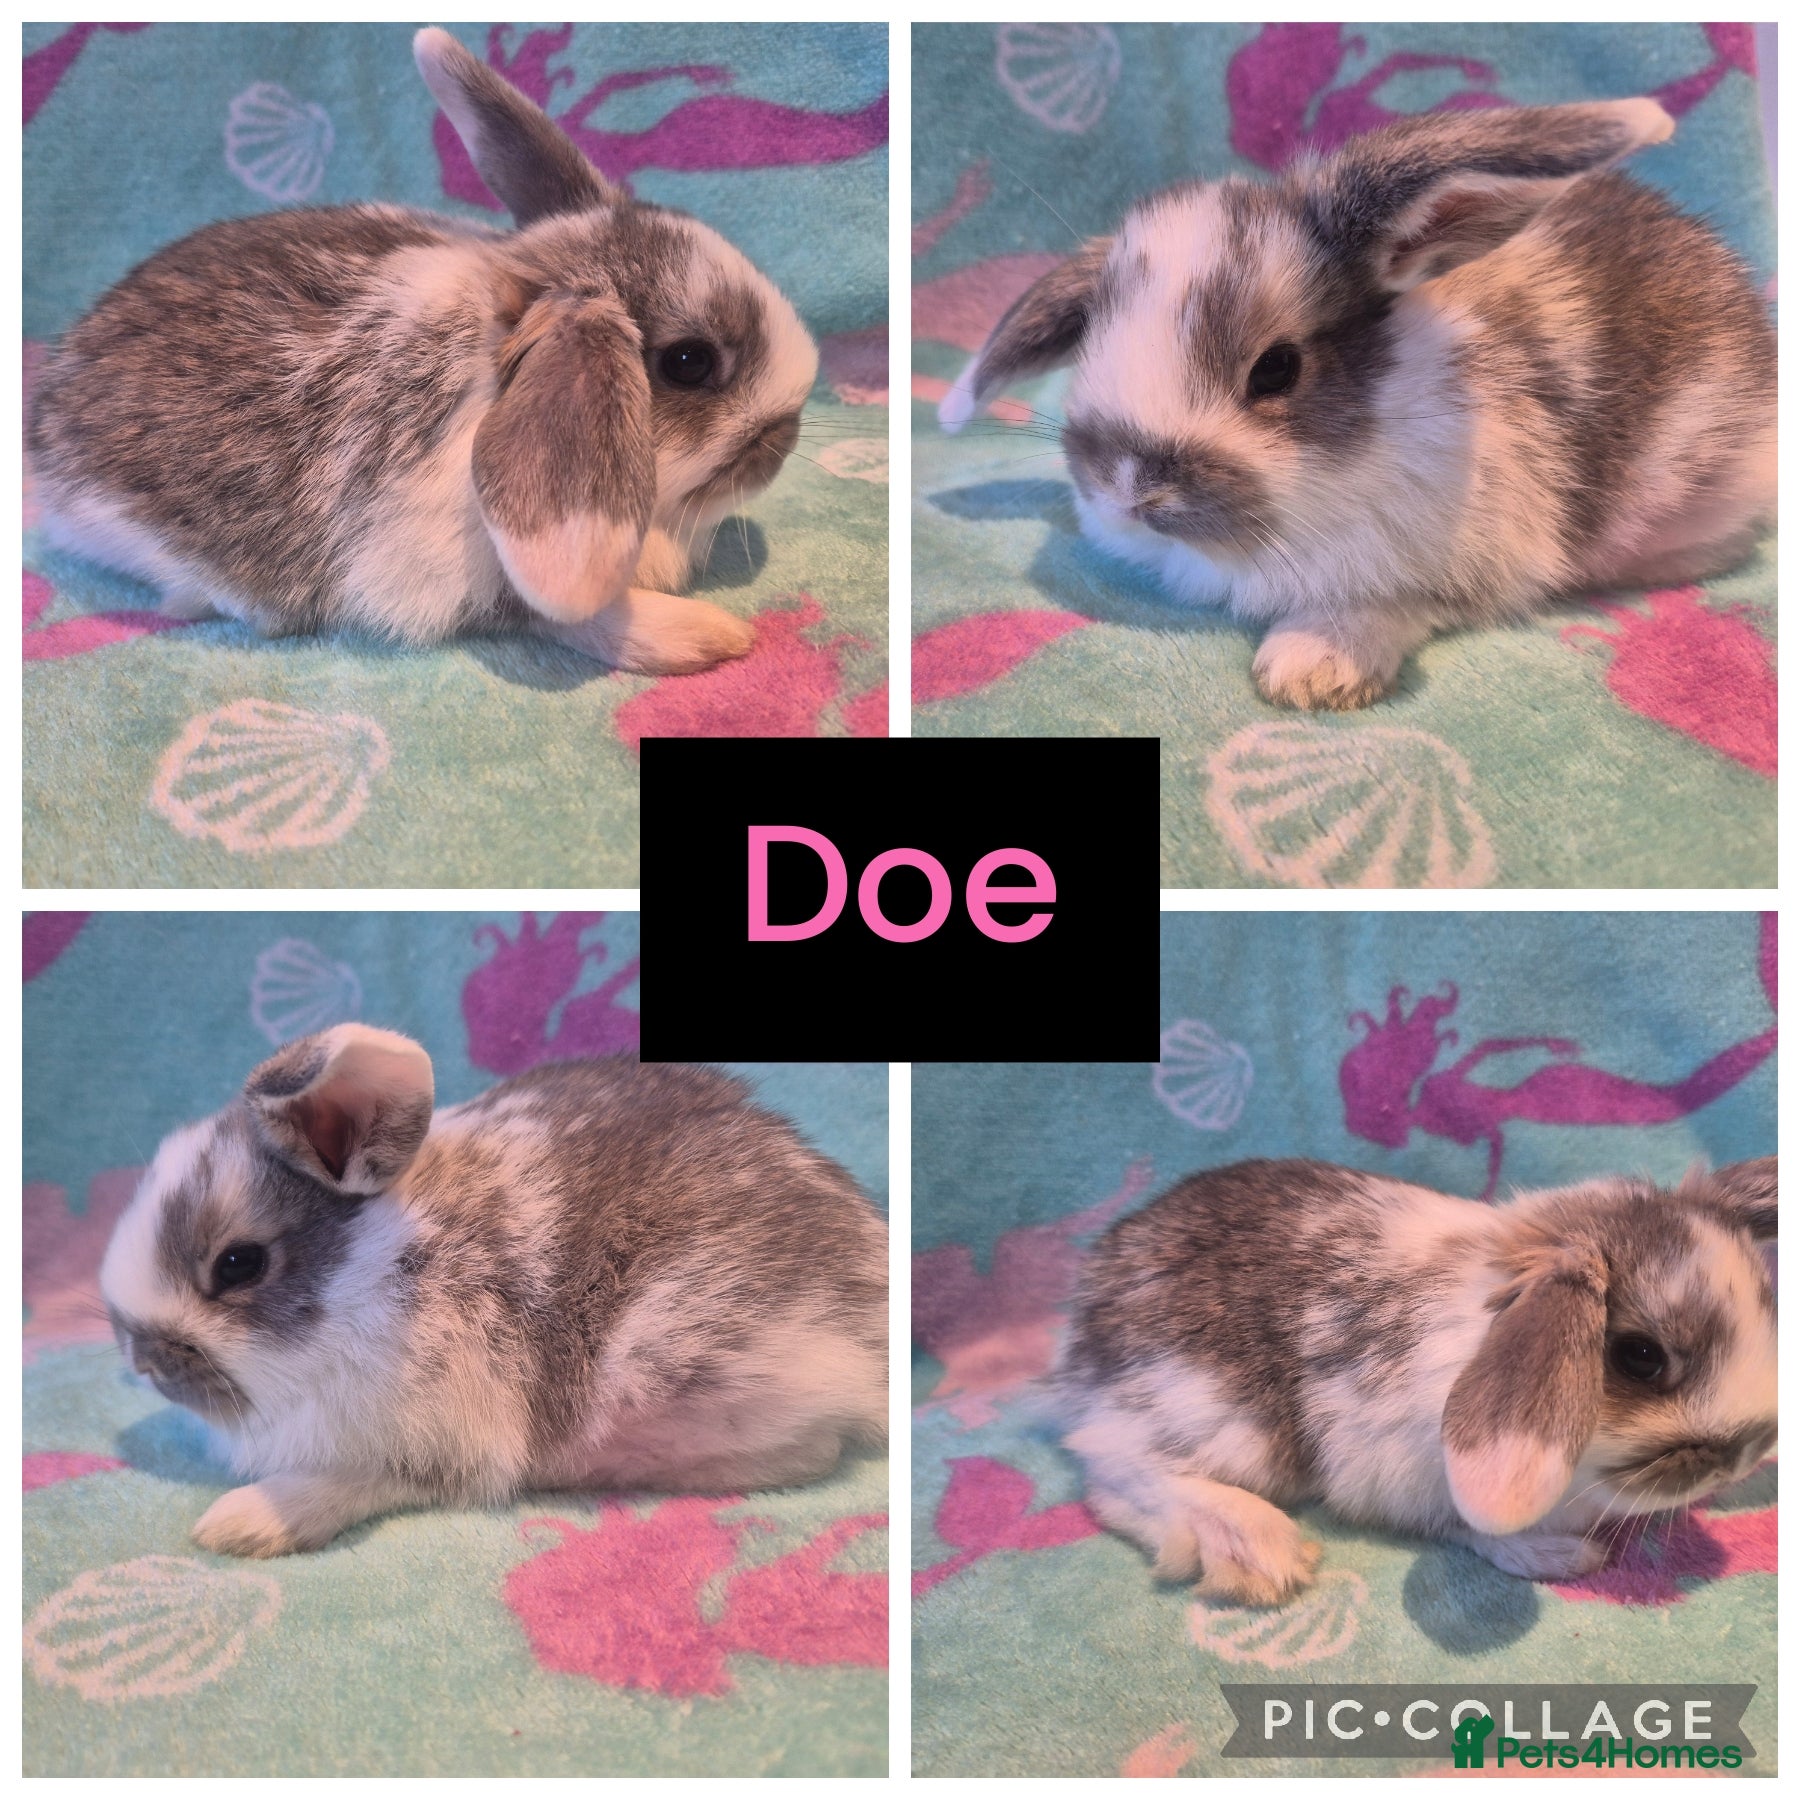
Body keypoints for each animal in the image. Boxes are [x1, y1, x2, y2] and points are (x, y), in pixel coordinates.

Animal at [98, 1025, 887, 1557]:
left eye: (239, 1264)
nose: (141, 1361)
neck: (385, 1268)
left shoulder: (431, 1442)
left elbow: (348, 1482)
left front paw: (237, 1524)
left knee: (814, 1453)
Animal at [940, 99, 1775, 709]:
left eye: (1277, 369)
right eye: (1091, 339)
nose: (1127, 491)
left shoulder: (1455, 563)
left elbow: (1385, 609)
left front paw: (1309, 669)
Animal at [1053, 1156, 1776, 1605]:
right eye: (1640, 1355)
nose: (1747, 1452)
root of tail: (1086, 1307)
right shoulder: (1399, 1475)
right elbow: (1472, 1530)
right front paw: (1559, 1558)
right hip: (1215, 1416)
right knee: (1111, 1468)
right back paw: (1257, 1549)